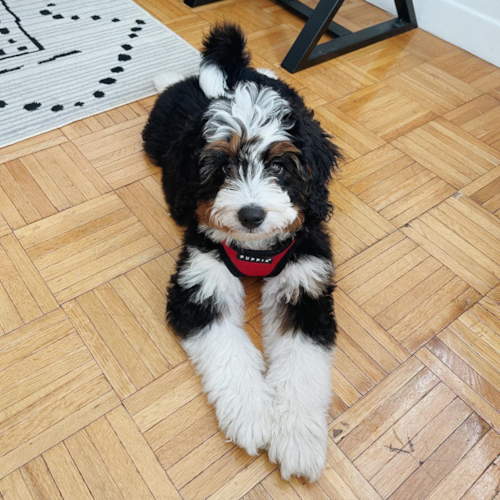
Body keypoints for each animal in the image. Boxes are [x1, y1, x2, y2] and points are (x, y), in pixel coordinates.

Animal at [144, 23, 340, 480]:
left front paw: (298, 439)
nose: (251, 214)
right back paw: (165, 78)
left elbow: (303, 363)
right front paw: (252, 416)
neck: (254, 250)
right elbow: (228, 350)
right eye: (221, 167)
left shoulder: (305, 282)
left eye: (280, 166)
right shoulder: (201, 282)